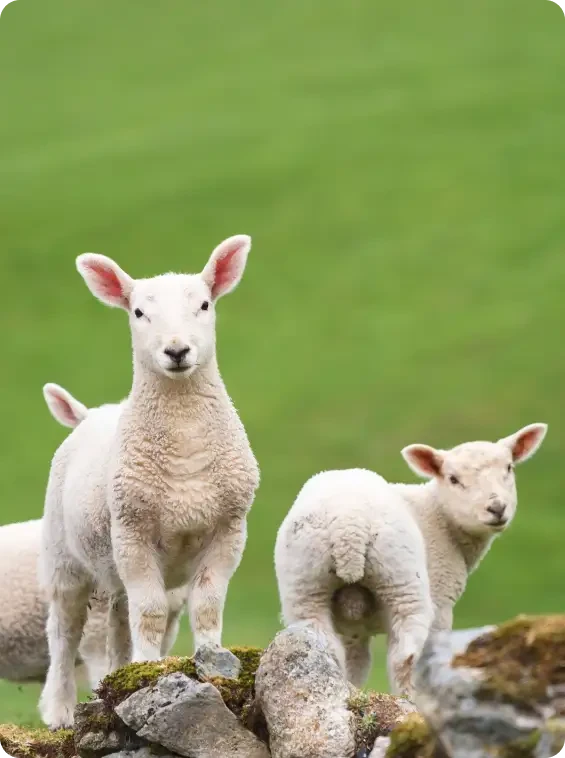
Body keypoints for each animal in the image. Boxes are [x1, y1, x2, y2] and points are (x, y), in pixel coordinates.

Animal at [39, 235, 260, 728]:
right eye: (139, 312)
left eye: (204, 304)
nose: (177, 352)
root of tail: (93, 414)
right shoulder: (133, 531)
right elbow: (152, 612)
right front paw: (150, 670)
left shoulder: (229, 529)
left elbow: (206, 605)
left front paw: (209, 660)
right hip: (65, 557)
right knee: (63, 633)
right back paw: (60, 710)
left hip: (113, 566)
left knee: (118, 623)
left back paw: (120, 671)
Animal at [274, 423, 547, 697]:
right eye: (453, 479)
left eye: (509, 468)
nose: (497, 508)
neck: (441, 517)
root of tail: (348, 525)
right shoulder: (441, 599)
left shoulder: (353, 630)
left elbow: (356, 663)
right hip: (402, 580)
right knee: (405, 656)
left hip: (305, 588)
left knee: (325, 647)